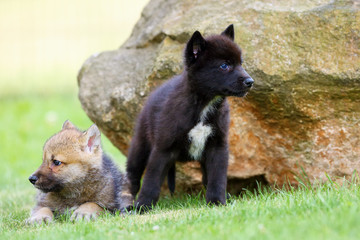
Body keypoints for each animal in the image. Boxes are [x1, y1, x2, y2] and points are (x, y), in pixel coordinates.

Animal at [126, 24, 253, 210]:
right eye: (224, 66)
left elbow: (217, 179)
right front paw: (143, 206)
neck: (203, 105)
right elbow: (151, 181)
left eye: (240, 63)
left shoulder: (218, 147)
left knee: (206, 178)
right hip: (140, 146)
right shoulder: (163, 149)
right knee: (133, 176)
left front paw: (217, 202)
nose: (250, 82)